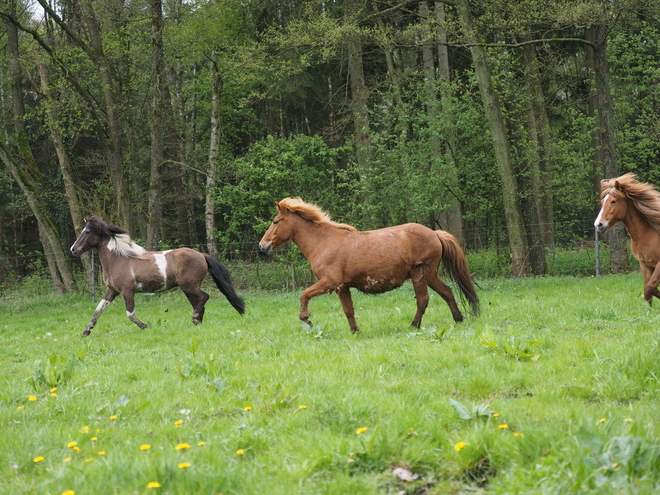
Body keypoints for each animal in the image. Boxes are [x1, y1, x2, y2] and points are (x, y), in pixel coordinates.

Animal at [70, 216, 245, 338]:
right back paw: (197, 321)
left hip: (189, 285)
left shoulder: (128, 291)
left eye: (87, 232)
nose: (73, 249)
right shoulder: (112, 290)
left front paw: (145, 326)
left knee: (204, 297)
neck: (119, 258)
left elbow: (130, 313)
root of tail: (202, 255)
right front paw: (86, 331)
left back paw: (195, 317)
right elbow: (98, 309)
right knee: (199, 302)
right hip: (188, 288)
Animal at [260, 198, 480, 334]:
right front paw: (355, 331)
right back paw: (459, 319)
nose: (262, 246)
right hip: (431, 275)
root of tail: (434, 233)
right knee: (447, 292)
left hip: (421, 274)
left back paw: (414, 325)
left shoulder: (329, 282)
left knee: (423, 300)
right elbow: (348, 310)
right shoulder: (342, 287)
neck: (324, 242)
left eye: (275, 221)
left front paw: (306, 318)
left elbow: (304, 295)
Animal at [596, 174, 660, 304]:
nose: (599, 224)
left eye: (613, 201)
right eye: (602, 201)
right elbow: (647, 293)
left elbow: (650, 288)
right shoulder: (645, 265)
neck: (648, 234)